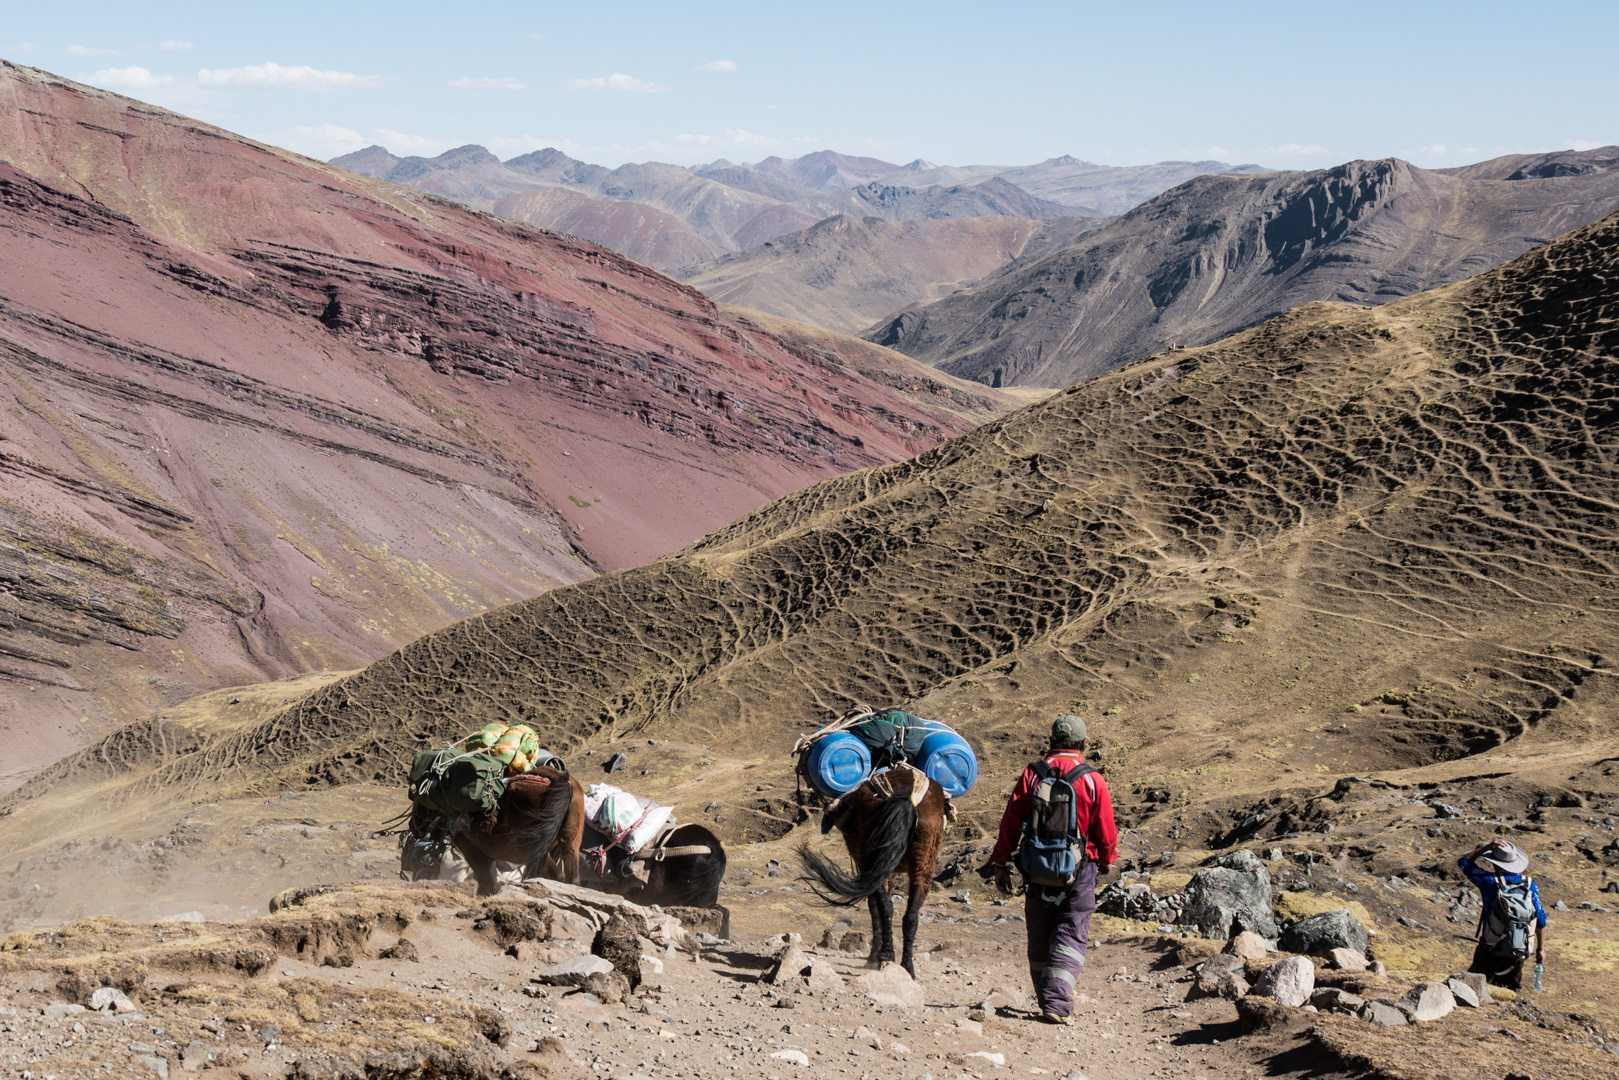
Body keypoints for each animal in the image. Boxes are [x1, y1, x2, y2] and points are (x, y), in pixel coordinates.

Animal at [796, 767, 945, 977]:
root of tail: (906, 795)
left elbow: (874, 907)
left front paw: (873, 956)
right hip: (923, 859)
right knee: (910, 914)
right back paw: (906, 966)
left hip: (871, 857)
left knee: (884, 906)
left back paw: (885, 956)